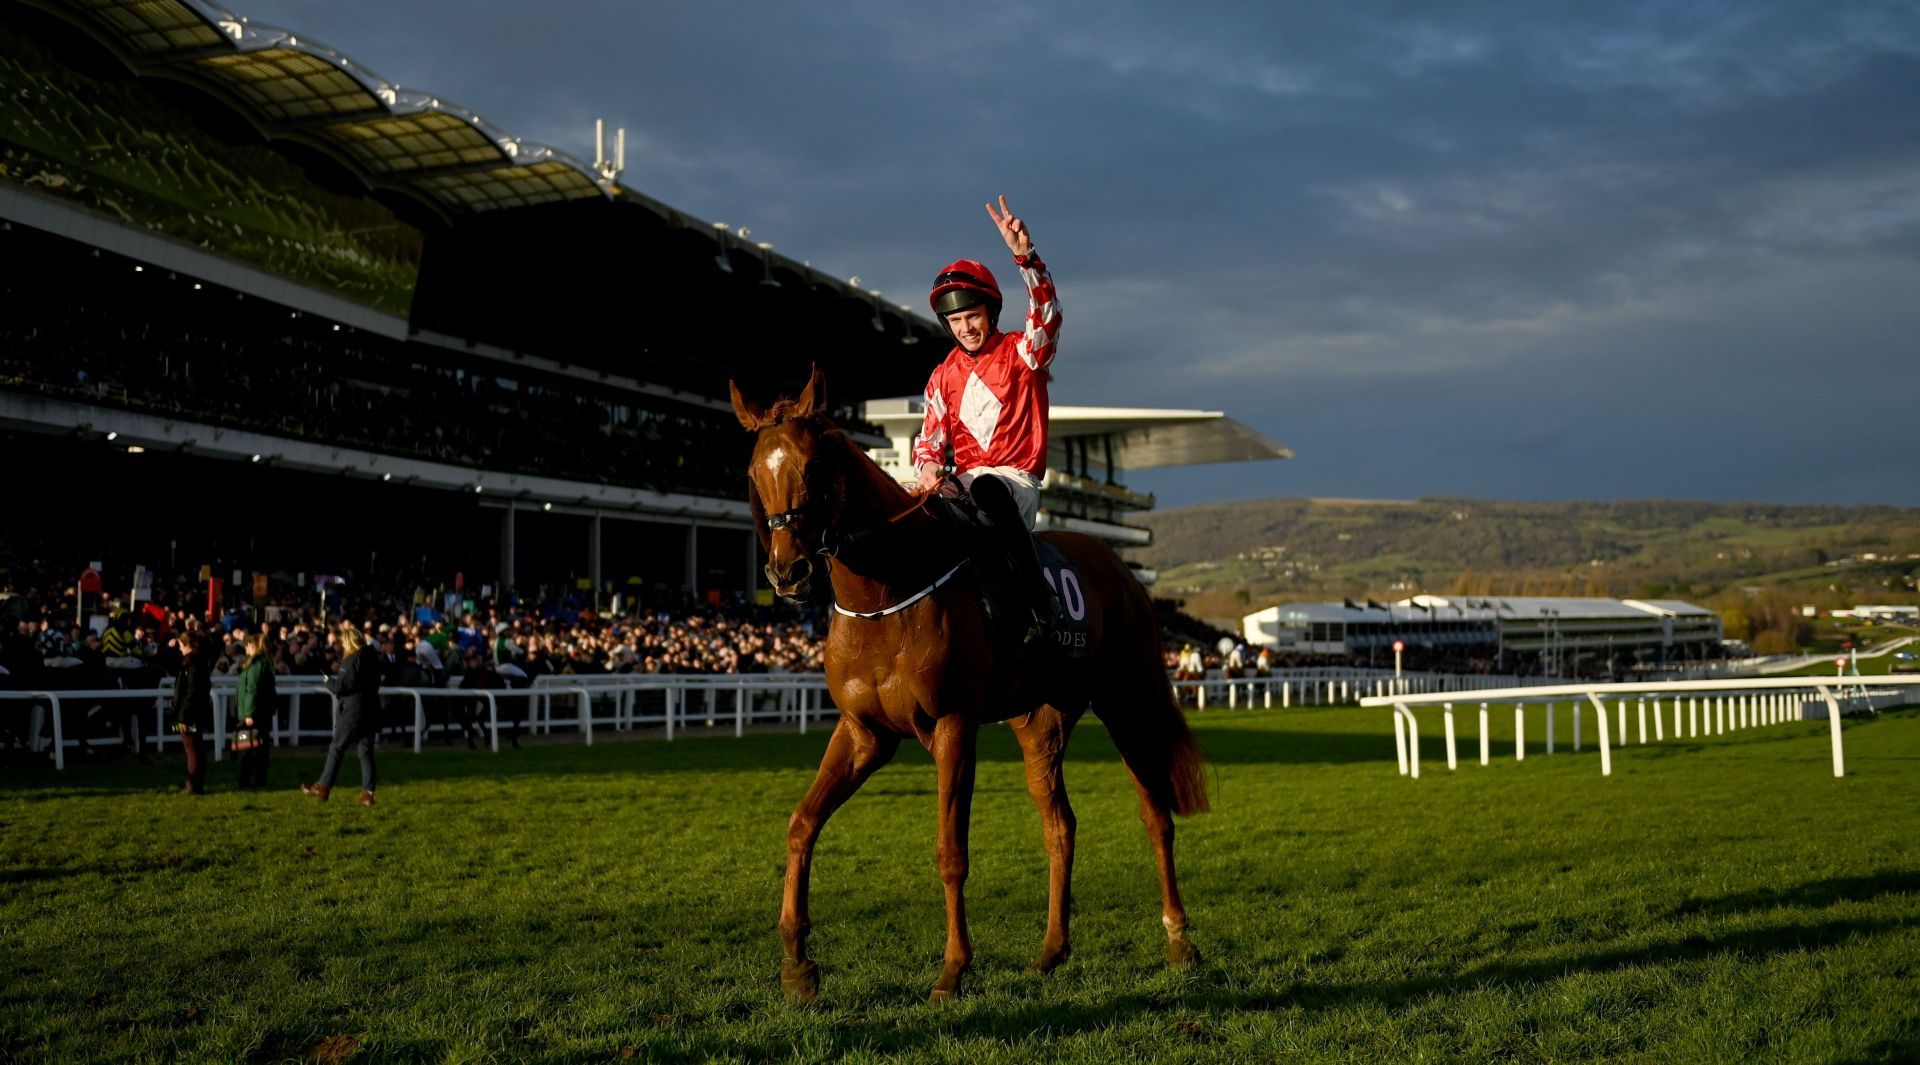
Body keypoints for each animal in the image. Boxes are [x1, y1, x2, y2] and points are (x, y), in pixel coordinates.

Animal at [725, 362, 1205, 1005]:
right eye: (755, 473)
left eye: (815, 467)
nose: (789, 573)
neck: (886, 591)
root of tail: (1120, 568)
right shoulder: (864, 732)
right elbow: (802, 826)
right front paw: (798, 966)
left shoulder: (952, 725)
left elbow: (950, 850)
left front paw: (952, 970)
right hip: (1041, 723)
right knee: (1060, 826)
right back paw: (1051, 952)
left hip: (1127, 702)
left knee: (1157, 817)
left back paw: (1179, 941)